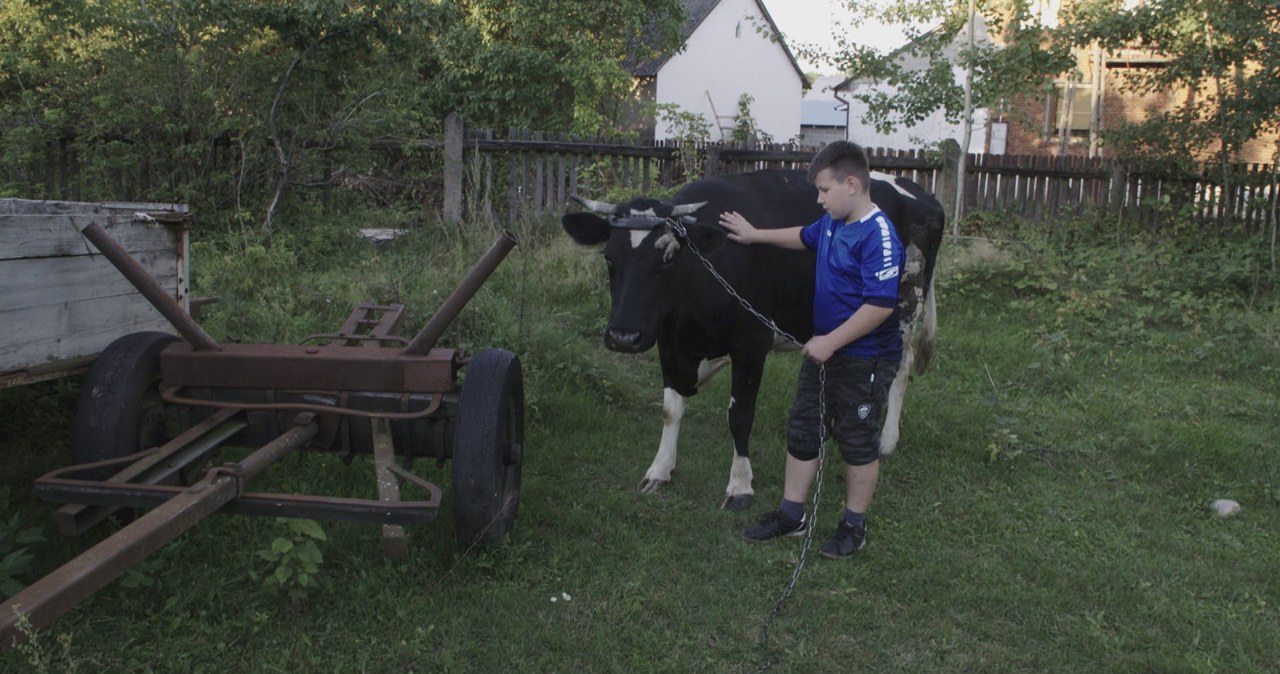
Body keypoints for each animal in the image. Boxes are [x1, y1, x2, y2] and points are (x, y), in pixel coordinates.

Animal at [565, 167, 947, 511]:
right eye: (609, 258)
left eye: (669, 257)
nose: (623, 336)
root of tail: (922, 193)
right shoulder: (668, 341)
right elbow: (670, 410)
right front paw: (659, 469)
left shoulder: (750, 343)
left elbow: (740, 415)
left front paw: (740, 485)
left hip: (905, 302)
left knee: (900, 368)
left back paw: (886, 439)